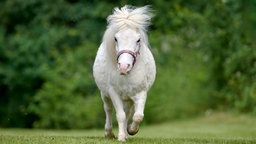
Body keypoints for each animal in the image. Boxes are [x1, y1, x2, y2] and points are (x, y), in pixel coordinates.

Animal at [92, 5, 155, 142]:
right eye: (116, 39)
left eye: (138, 40)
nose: (124, 67)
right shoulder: (113, 93)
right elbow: (120, 115)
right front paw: (121, 137)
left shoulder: (141, 93)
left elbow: (138, 116)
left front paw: (131, 130)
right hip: (105, 94)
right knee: (108, 109)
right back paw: (109, 133)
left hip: (128, 98)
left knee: (128, 112)